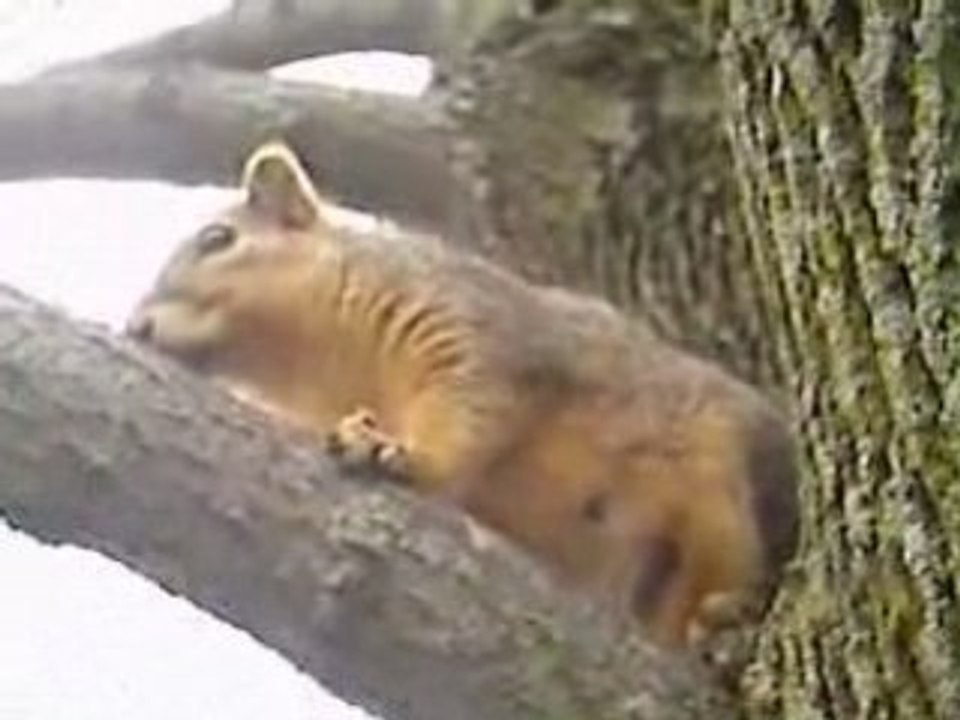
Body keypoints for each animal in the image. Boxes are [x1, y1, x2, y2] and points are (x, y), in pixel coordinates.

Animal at [126, 141, 799, 648]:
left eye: (218, 239)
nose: (137, 327)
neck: (318, 365)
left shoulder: (467, 329)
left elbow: (471, 414)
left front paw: (394, 448)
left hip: (722, 481)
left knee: (741, 560)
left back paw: (726, 611)